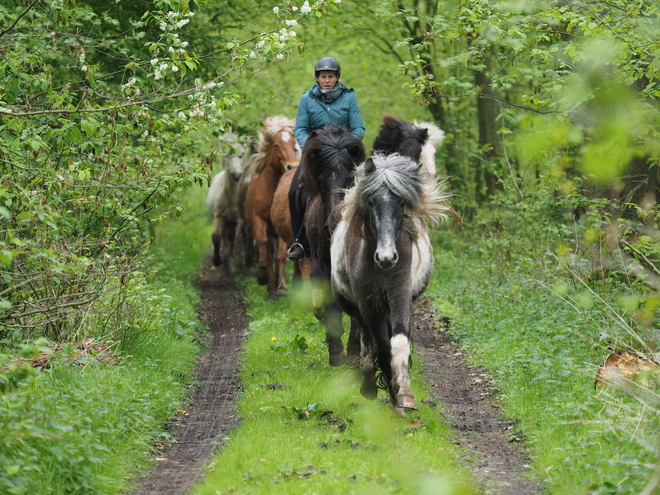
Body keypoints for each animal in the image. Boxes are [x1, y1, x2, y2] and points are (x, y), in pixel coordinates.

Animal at [208, 132, 256, 276]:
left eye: (241, 154)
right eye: (227, 154)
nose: (236, 175)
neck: (230, 197)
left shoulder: (239, 218)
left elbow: (238, 240)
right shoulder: (220, 216)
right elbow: (216, 236)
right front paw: (217, 261)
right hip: (227, 224)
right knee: (226, 242)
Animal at [245, 117, 300, 298]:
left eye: (294, 144)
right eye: (276, 145)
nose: (292, 166)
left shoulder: (282, 226)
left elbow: (281, 256)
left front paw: (282, 287)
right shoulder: (259, 220)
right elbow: (264, 251)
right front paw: (263, 278)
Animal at [298, 127, 366, 368]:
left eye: (350, 179)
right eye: (321, 181)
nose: (334, 224)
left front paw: (354, 351)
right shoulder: (326, 266)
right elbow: (330, 303)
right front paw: (336, 351)